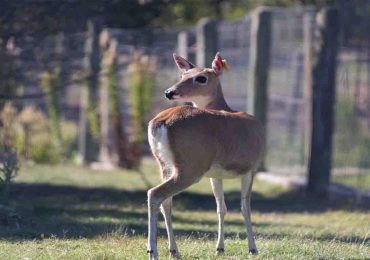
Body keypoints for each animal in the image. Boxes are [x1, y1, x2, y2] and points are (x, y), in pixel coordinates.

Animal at [146, 51, 264, 258]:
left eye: (201, 78)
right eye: (182, 75)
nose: (169, 92)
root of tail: (159, 122)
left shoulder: (215, 174)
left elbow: (221, 208)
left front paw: (220, 248)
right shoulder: (251, 168)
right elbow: (245, 208)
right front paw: (253, 248)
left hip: (165, 164)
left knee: (166, 202)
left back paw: (174, 250)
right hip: (191, 167)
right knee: (154, 193)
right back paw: (153, 251)